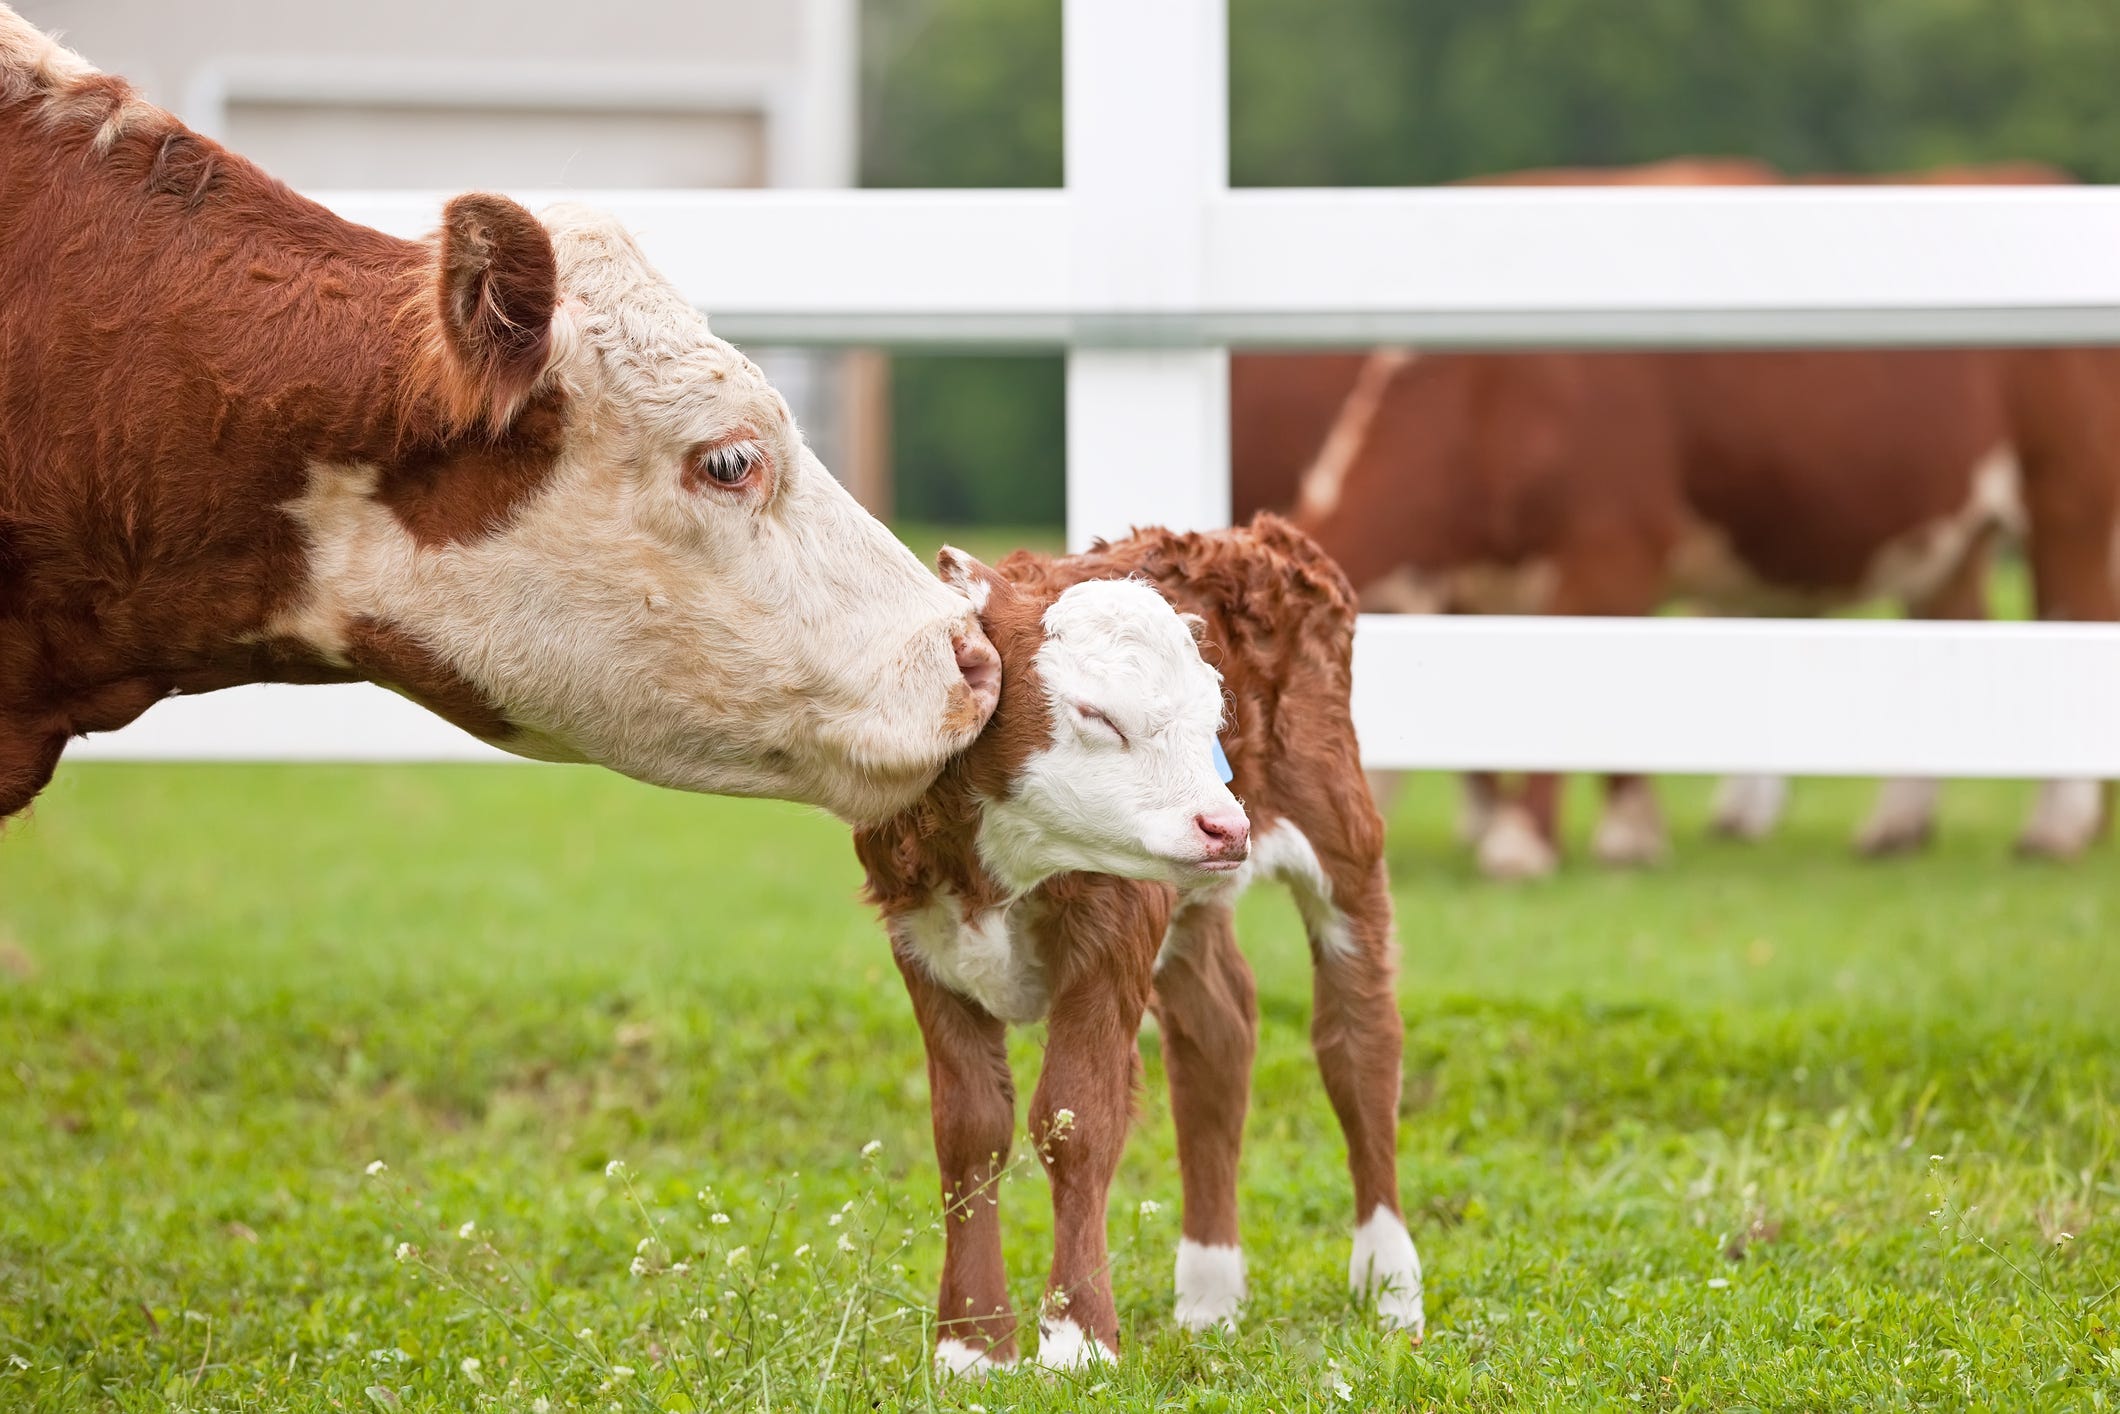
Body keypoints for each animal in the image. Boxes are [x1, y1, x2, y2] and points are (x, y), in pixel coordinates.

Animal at [852, 519, 1416, 1373]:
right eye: (1097, 715)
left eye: (1212, 715)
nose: (1225, 826)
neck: (1001, 866)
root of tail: (1252, 536)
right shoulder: (920, 938)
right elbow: (968, 1130)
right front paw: (972, 1345)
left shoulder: (1113, 929)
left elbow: (1077, 1119)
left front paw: (1077, 1341)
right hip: (1190, 907)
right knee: (1217, 1037)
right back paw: (1211, 1300)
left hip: (1343, 834)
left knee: (1360, 1044)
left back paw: (1388, 1288)